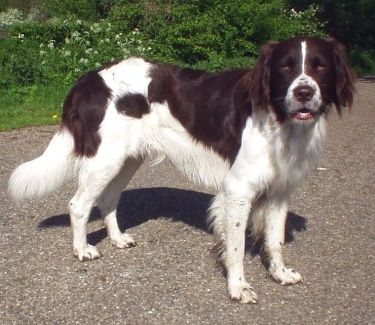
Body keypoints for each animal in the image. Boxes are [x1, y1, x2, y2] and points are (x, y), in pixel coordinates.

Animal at [7, 36, 356, 302]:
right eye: (286, 67)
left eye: (320, 66)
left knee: (107, 199)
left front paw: (280, 274)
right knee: (78, 204)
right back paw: (82, 250)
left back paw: (117, 239)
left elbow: (275, 239)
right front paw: (238, 287)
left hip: (128, 159)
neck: (277, 118)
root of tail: (88, 79)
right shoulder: (238, 189)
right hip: (105, 159)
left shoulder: (281, 189)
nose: (304, 93)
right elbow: (237, 245)